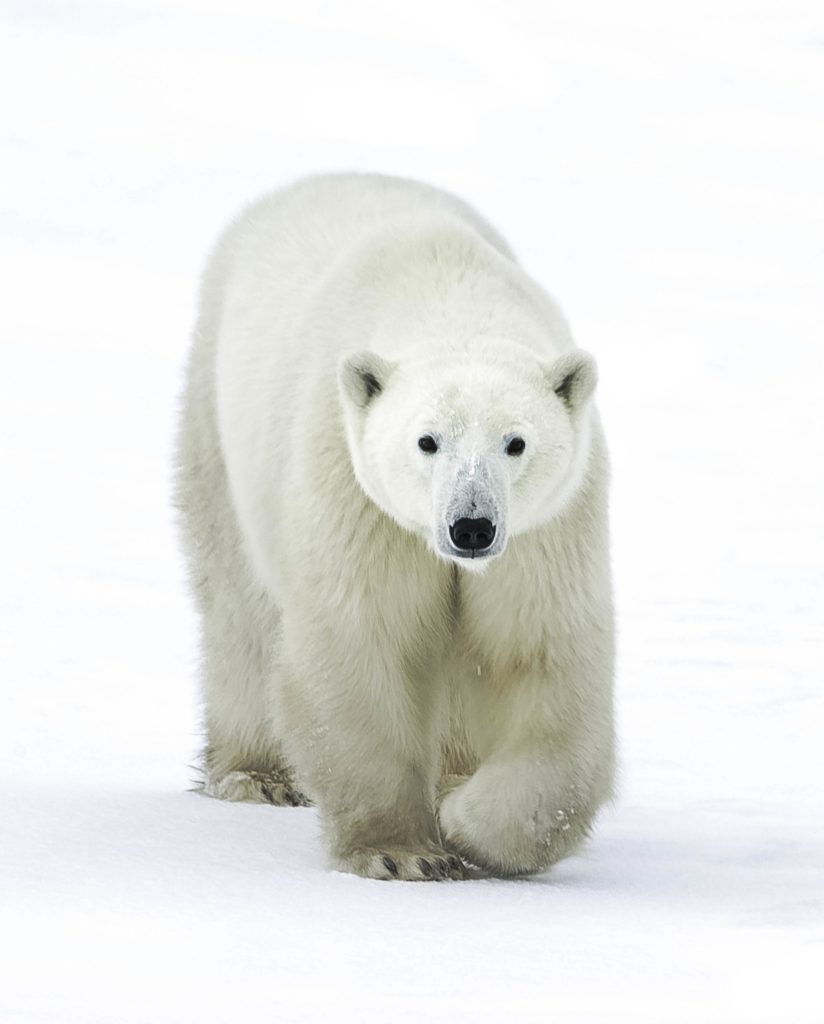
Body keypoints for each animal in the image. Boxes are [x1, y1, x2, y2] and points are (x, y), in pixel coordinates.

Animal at [175, 172, 615, 880]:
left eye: (516, 443)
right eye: (426, 441)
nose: (471, 528)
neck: (452, 302)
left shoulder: (548, 526)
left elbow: (538, 657)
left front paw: (466, 821)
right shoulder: (354, 487)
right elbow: (362, 643)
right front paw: (401, 852)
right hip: (218, 427)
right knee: (241, 608)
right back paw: (256, 773)